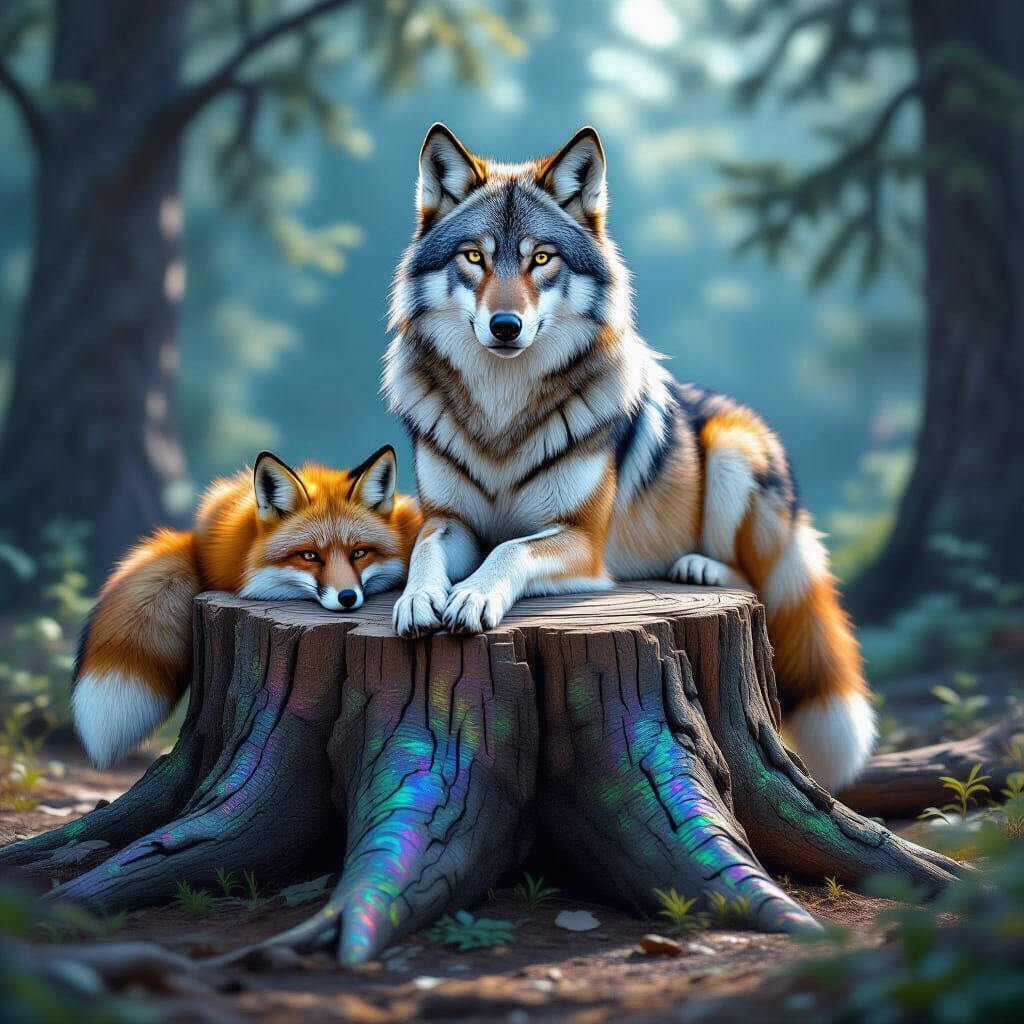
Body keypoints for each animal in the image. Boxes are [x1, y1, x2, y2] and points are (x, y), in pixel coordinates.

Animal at [383, 123, 876, 792]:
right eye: (475, 257)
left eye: (542, 259)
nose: (505, 325)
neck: (503, 416)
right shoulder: (448, 520)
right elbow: (425, 551)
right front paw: (418, 599)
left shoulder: (581, 539)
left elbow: (510, 549)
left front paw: (473, 595)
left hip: (732, 451)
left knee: (756, 581)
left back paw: (697, 567)